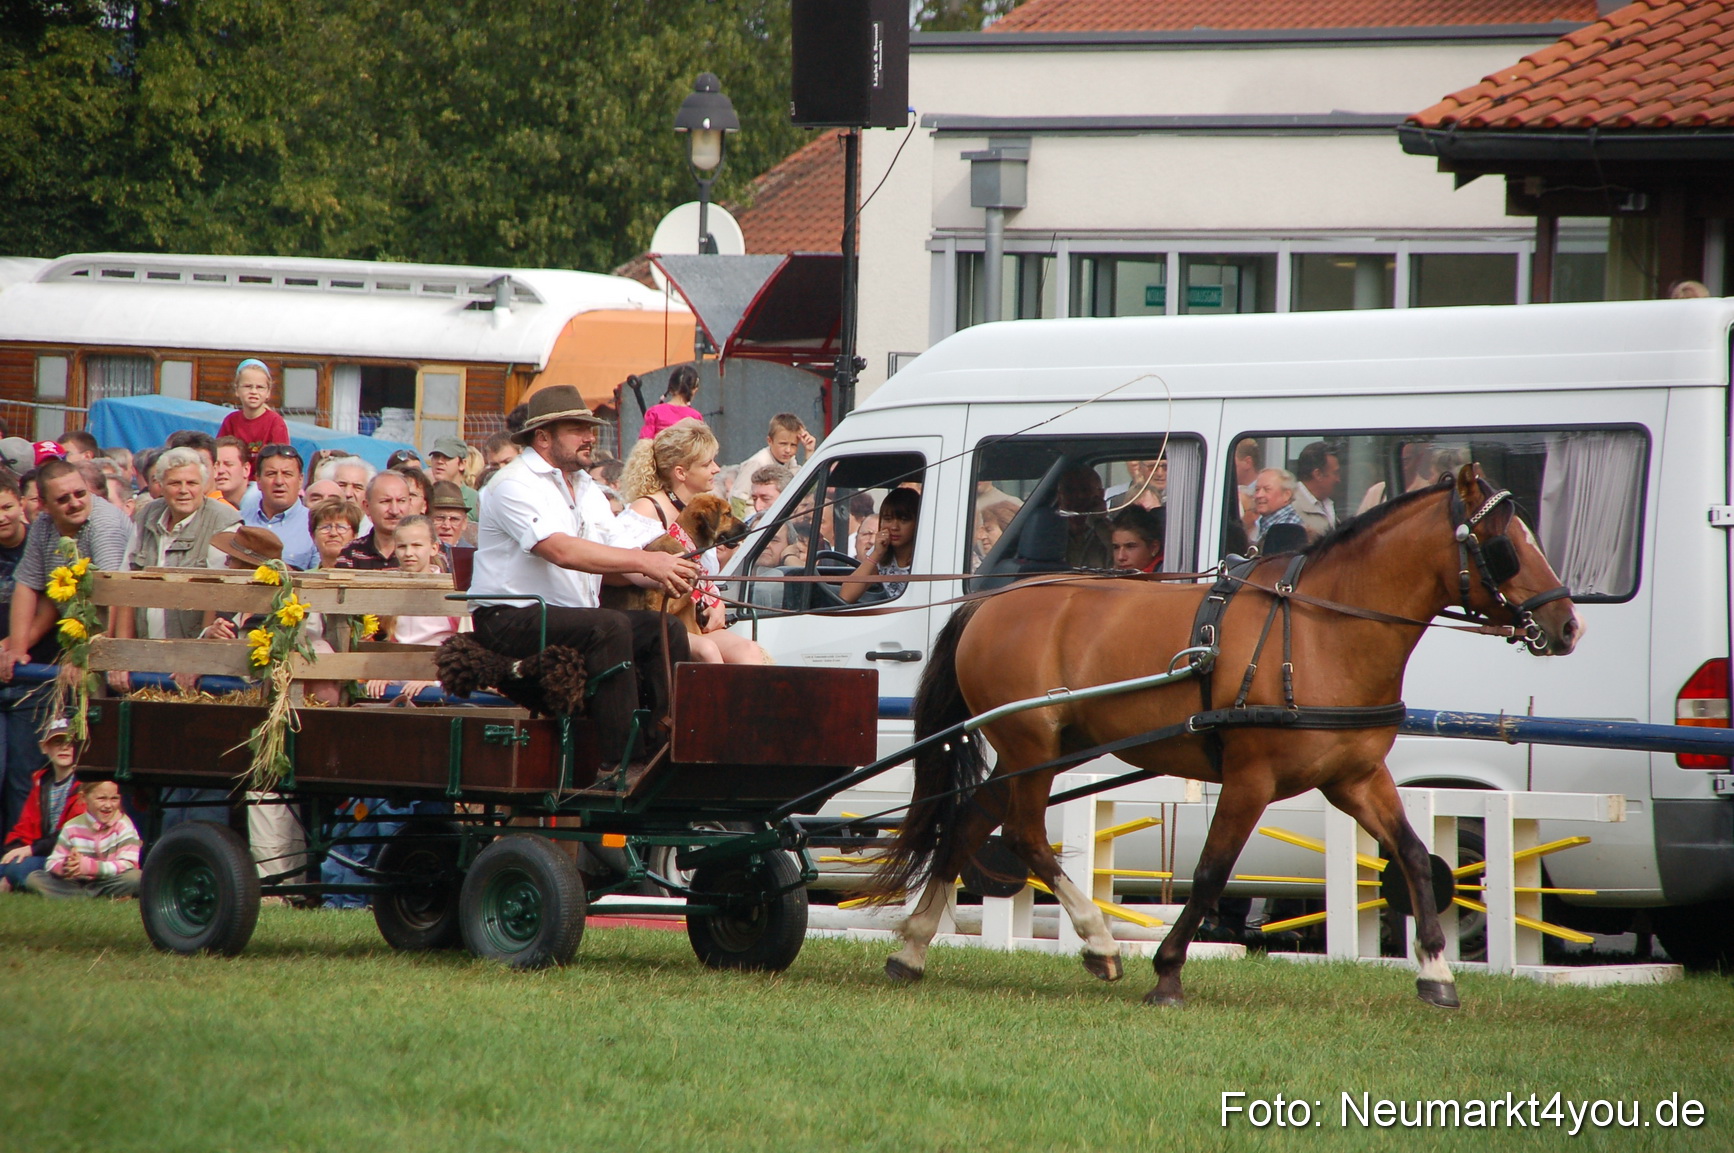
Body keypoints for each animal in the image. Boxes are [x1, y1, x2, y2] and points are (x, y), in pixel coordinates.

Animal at [867, 464, 1582, 1008]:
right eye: (1503, 544)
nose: (1568, 624)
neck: (1323, 632)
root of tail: (989, 601)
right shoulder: (1250, 778)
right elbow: (1212, 871)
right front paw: (1167, 973)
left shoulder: (1355, 777)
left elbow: (1412, 855)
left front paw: (1435, 972)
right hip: (1032, 746)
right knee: (1021, 834)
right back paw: (1098, 942)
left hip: (1038, 748)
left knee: (969, 820)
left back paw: (914, 947)